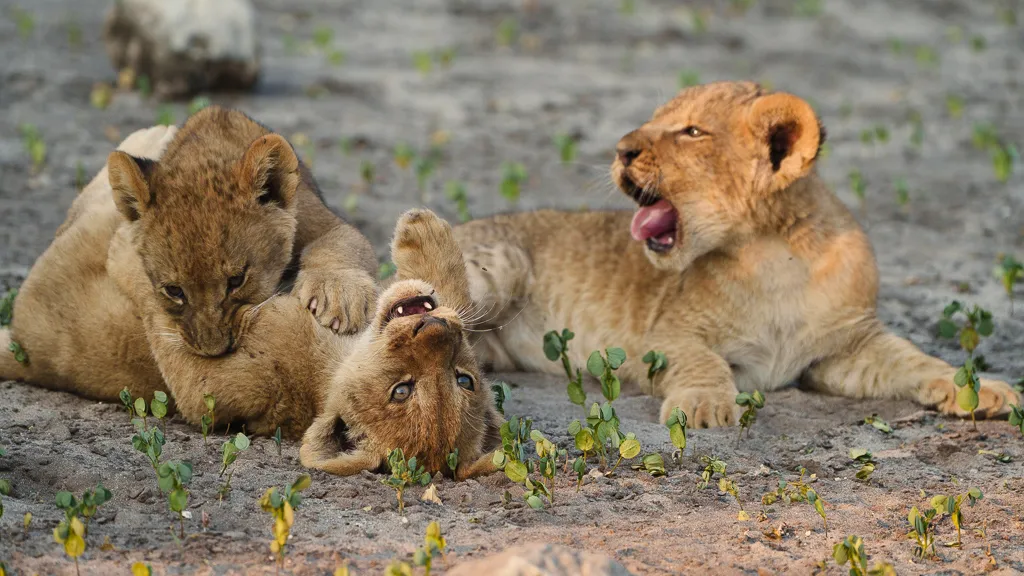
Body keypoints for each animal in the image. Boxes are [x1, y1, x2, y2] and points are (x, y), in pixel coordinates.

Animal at [452, 81, 1020, 428]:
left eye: (692, 131)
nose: (620, 150)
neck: (774, 257)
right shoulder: (665, 334)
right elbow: (703, 361)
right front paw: (703, 406)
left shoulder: (847, 347)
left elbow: (916, 358)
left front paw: (983, 390)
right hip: (499, 266)